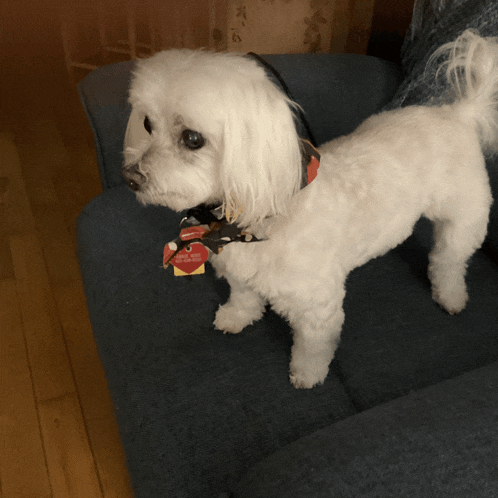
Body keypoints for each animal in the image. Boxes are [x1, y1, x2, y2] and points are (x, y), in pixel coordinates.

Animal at [123, 30, 498, 390]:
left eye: (192, 139)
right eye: (147, 125)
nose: (130, 177)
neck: (247, 221)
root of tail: (458, 113)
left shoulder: (317, 307)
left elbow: (313, 347)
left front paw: (307, 374)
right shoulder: (241, 275)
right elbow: (244, 298)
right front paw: (236, 317)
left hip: (465, 218)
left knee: (449, 260)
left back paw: (450, 295)